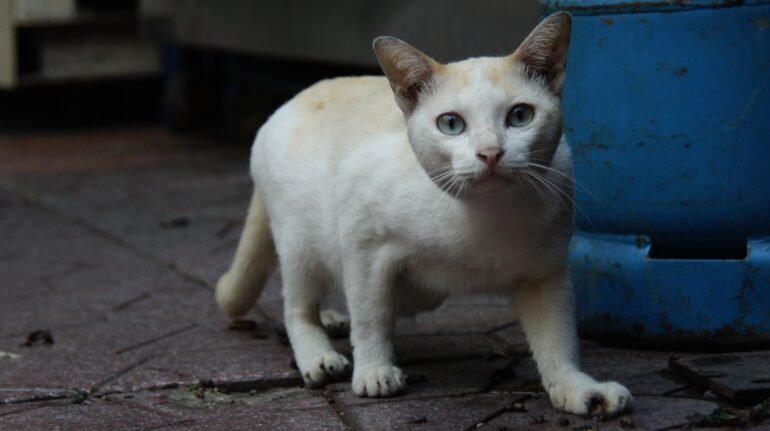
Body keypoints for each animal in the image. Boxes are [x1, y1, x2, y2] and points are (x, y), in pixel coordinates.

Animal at [216, 13, 632, 416]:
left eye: (519, 116)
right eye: (451, 124)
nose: (490, 153)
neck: (488, 218)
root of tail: (288, 103)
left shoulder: (545, 273)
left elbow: (558, 342)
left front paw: (579, 390)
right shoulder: (364, 242)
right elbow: (370, 317)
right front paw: (374, 370)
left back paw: (333, 318)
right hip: (301, 243)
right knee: (297, 306)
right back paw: (319, 354)